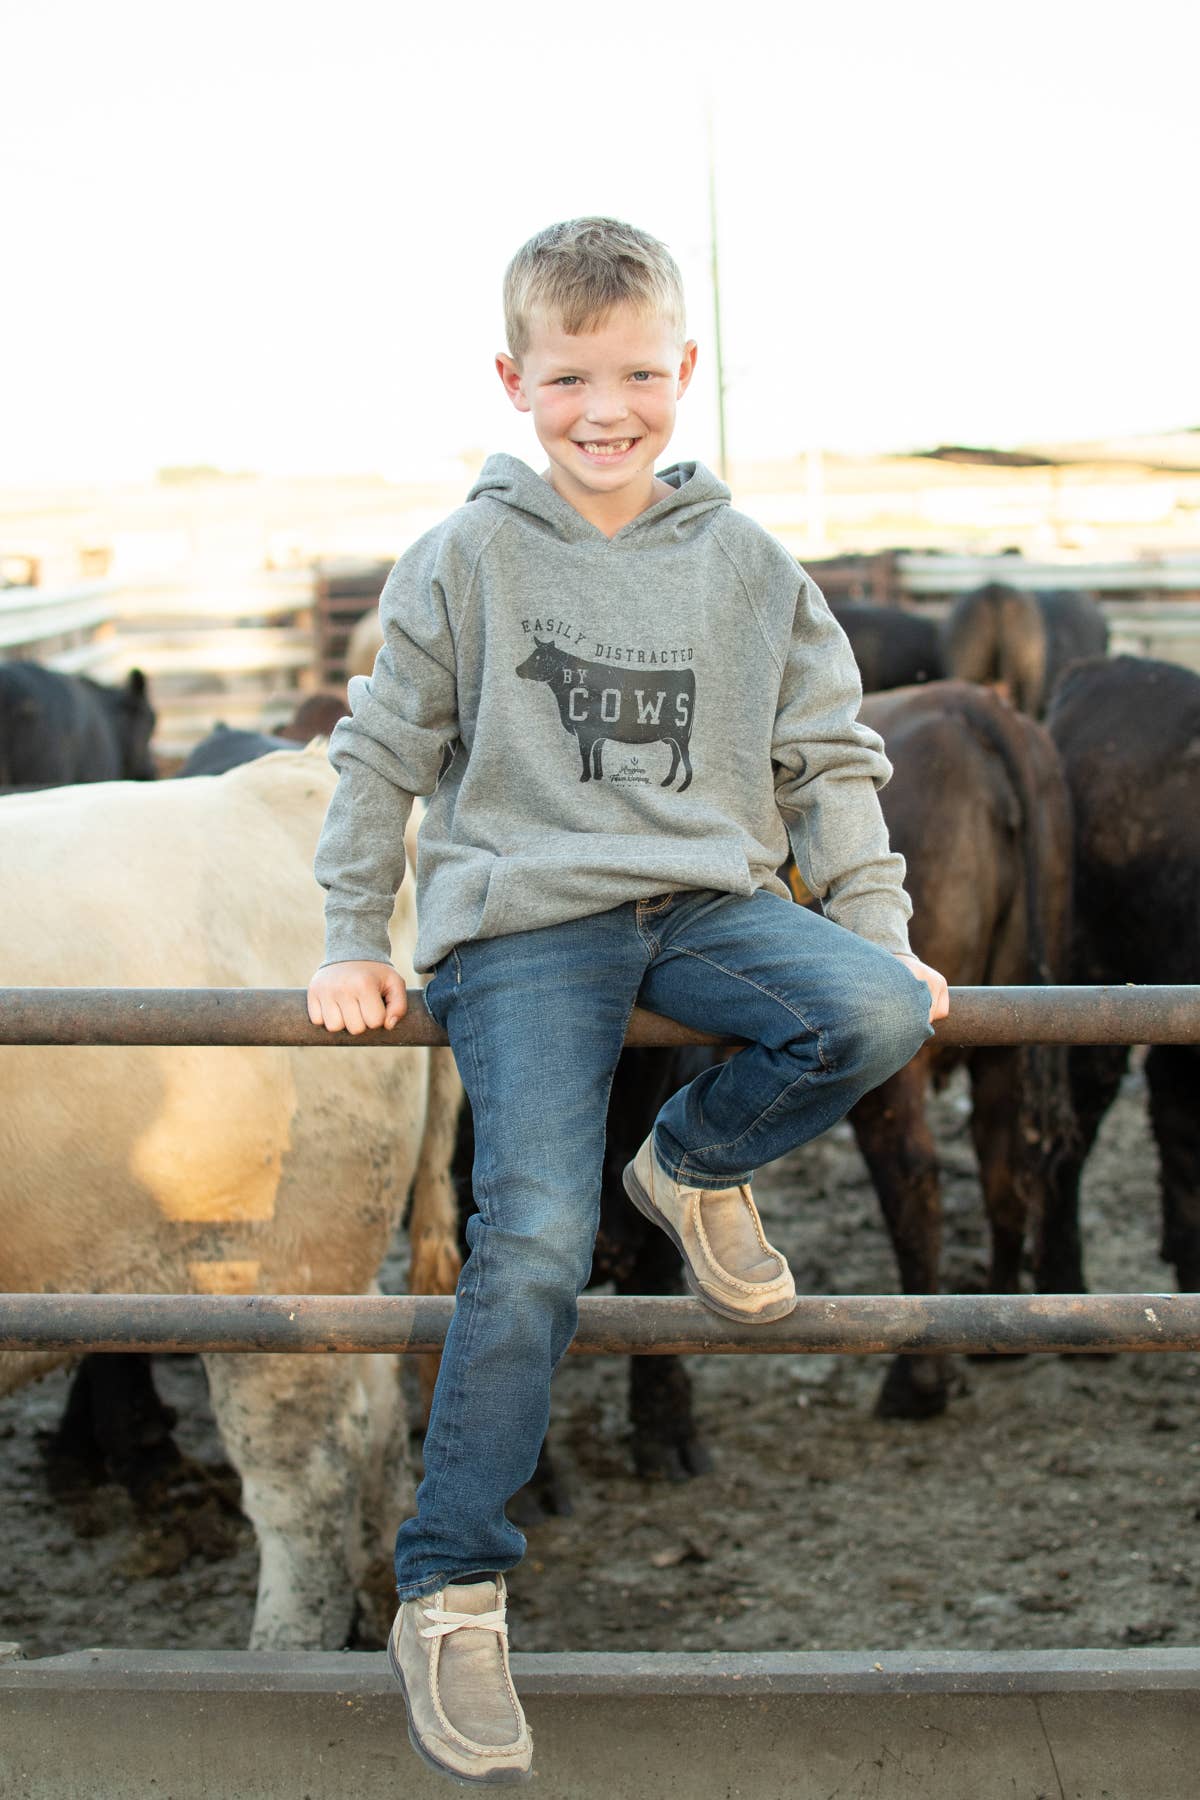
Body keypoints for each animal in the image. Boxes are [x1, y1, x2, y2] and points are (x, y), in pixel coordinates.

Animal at [0, 748, 462, 1649]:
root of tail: (277, 780)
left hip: (272, 1275)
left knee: (305, 1482)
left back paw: (285, 1652)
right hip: (334, 1272)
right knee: (376, 1419)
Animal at [517, 636, 695, 788]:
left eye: (539, 657)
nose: (518, 669)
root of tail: (686, 671)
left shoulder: (585, 732)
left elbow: (585, 754)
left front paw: (585, 777)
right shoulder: (598, 734)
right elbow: (597, 752)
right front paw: (598, 775)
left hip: (681, 733)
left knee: (684, 754)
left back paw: (683, 784)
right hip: (671, 736)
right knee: (676, 755)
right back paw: (668, 781)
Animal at [848, 681, 1074, 1417]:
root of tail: (971, 704)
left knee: (913, 1175)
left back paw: (917, 1382)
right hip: (1012, 1033)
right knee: (1006, 1163)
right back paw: (997, 1330)